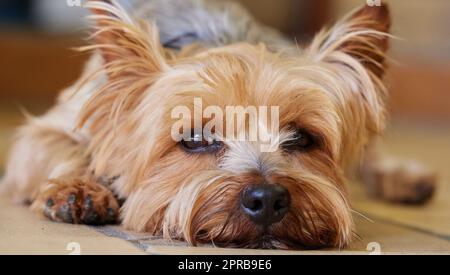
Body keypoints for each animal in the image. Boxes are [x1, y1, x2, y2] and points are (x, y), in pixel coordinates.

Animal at [0, 0, 436, 250]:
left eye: (302, 137)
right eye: (195, 138)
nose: (267, 200)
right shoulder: (49, 130)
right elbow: (63, 145)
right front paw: (79, 190)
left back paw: (403, 176)